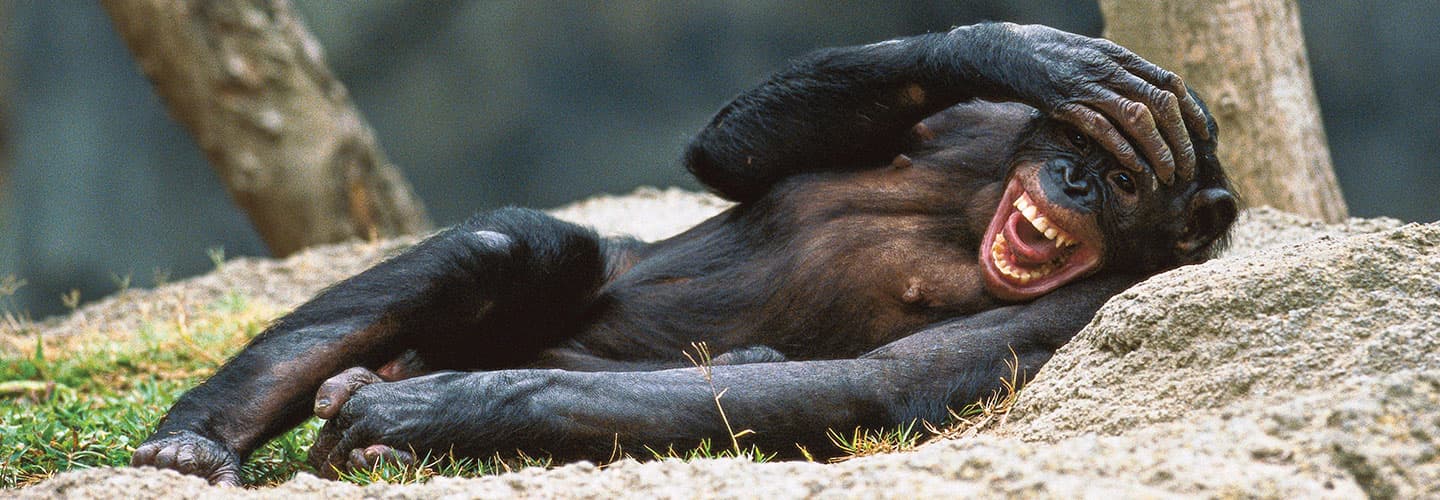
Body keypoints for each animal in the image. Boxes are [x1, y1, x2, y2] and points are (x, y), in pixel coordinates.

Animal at [135, 22, 1232, 487]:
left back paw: (384, 413)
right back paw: (197, 440)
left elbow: (876, 384)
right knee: (521, 242)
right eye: (1079, 141)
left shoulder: (1087, 309)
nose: (1076, 179)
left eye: (1128, 177)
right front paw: (1026, 48)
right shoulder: (981, 127)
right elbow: (729, 154)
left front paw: (429, 413)